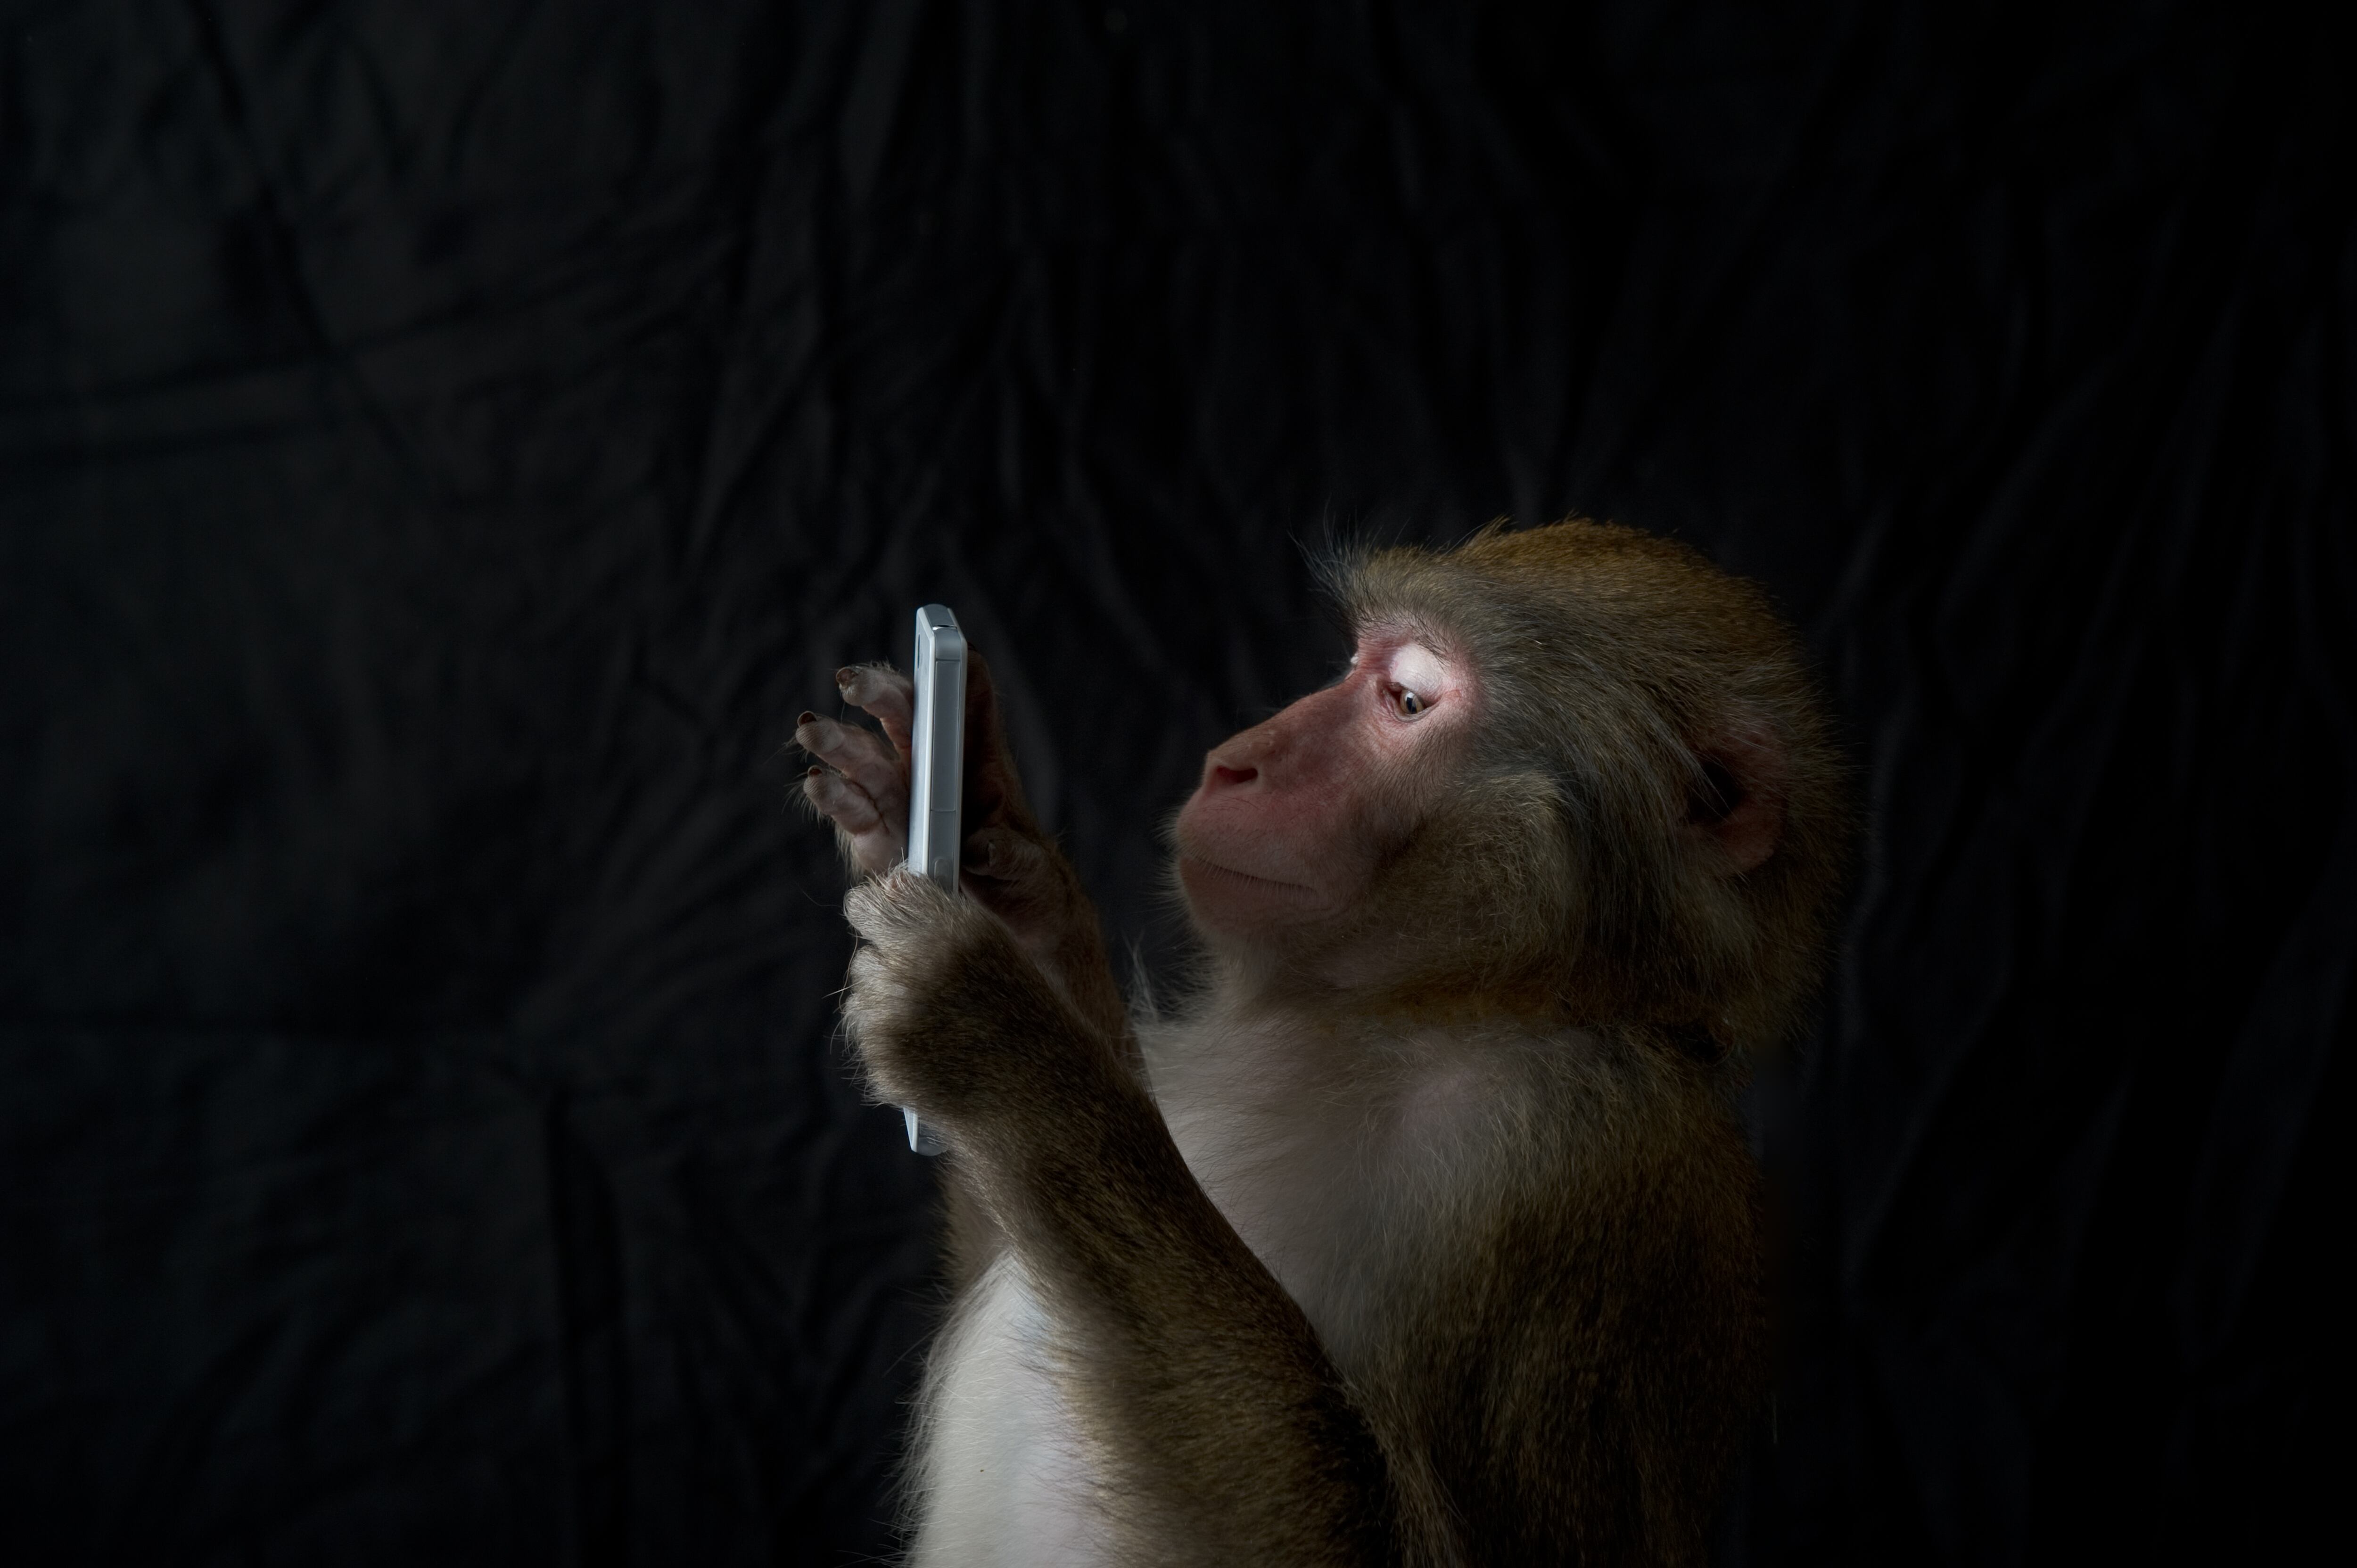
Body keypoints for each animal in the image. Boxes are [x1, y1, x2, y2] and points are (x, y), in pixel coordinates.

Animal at [795, 519, 1848, 1566]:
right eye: (1351, 669)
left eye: (1408, 700)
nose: (1237, 761)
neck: (1429, 1009)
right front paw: (983, 846)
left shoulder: (1565, 1163)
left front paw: (1005, 1040)